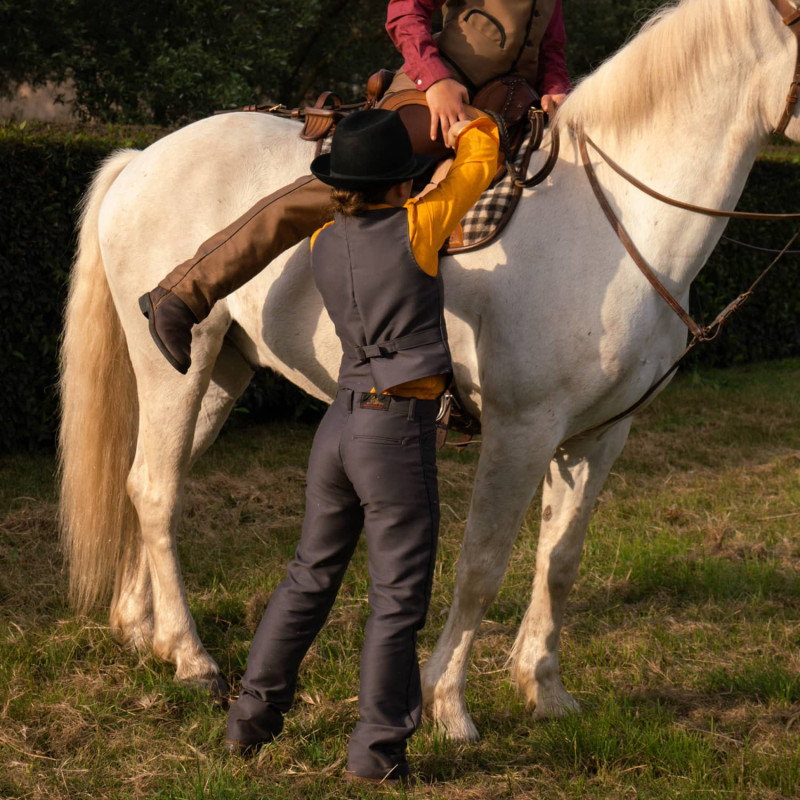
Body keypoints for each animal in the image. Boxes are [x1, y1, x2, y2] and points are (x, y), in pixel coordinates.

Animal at [61, 0, 800, 744]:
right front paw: (448, 705)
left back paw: (144, 631)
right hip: (177, 372)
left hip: (220, 375)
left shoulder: (597, 437)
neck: (615, 223)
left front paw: (545, 689)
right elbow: (482, 563)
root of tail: (141, 160)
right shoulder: (520, 431)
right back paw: (191, 658)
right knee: (157, 490)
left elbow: (559, 560)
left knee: (145, 481)